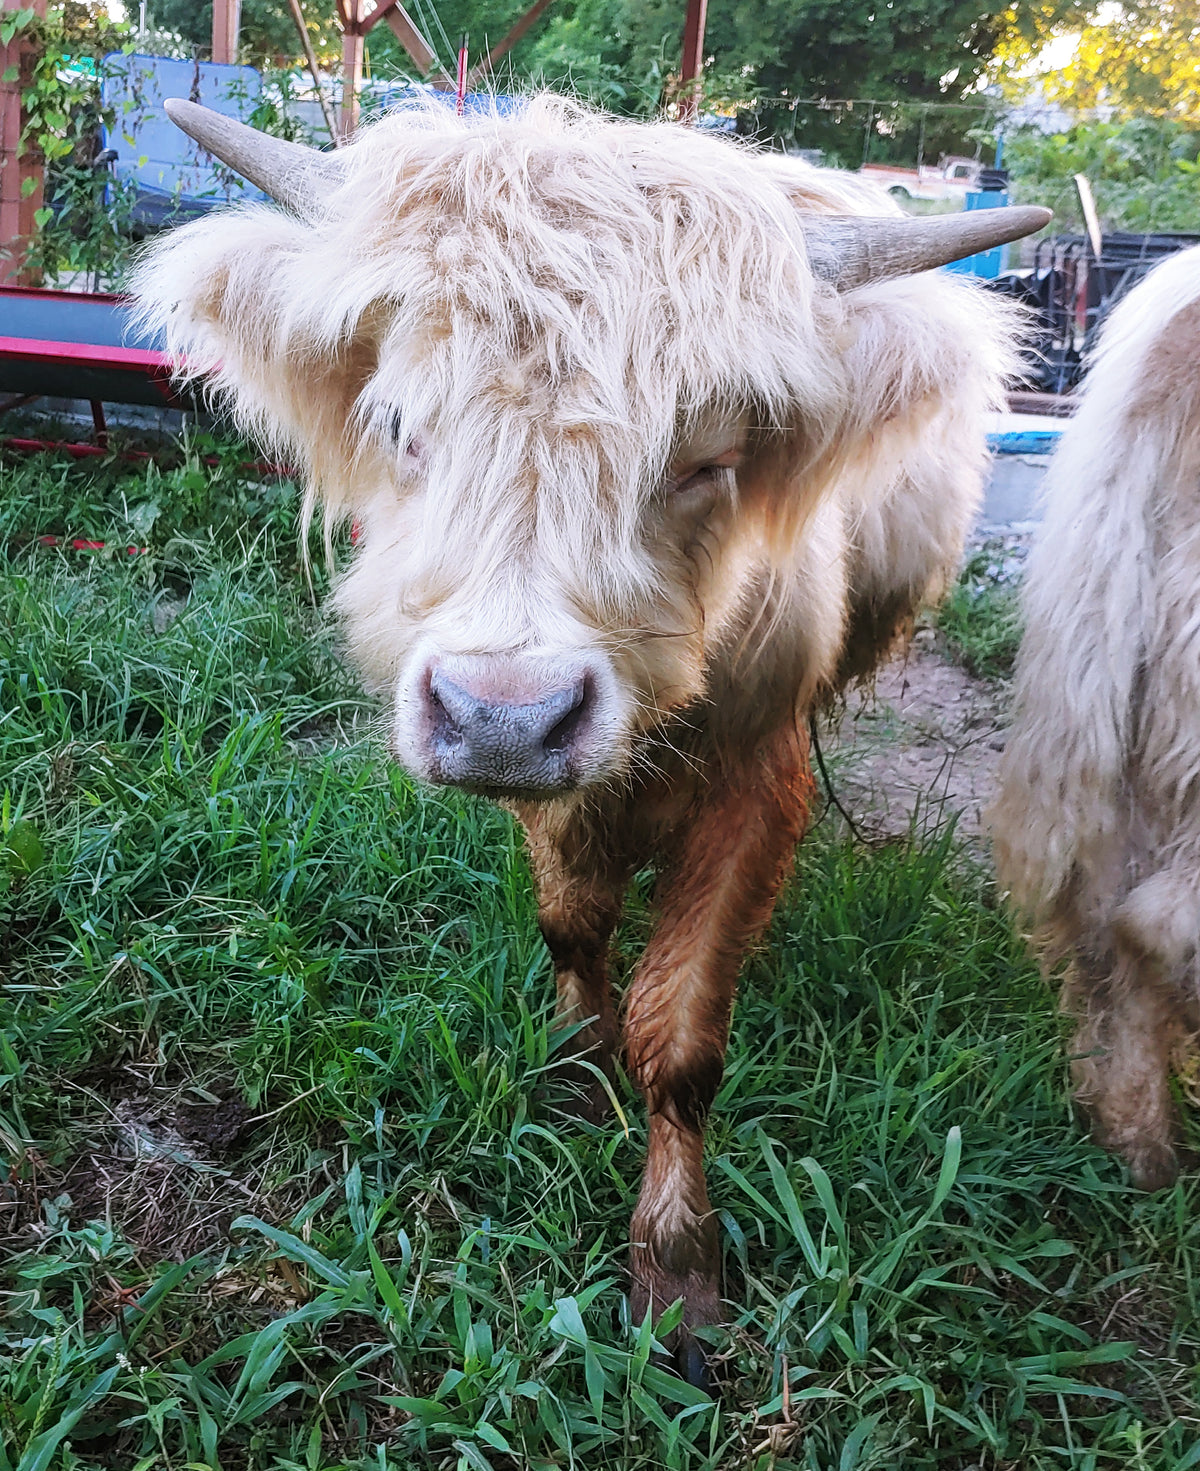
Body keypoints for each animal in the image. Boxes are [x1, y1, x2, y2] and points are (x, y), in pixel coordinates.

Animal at [133, 93, 1043, 1382]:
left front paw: (677, 1263)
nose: (505, 713)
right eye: (398, 425)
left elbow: (684, 1030)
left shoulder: (756, 788)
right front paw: (574, 1057)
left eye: (712, 461)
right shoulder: (546, 783)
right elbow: (572, 917)